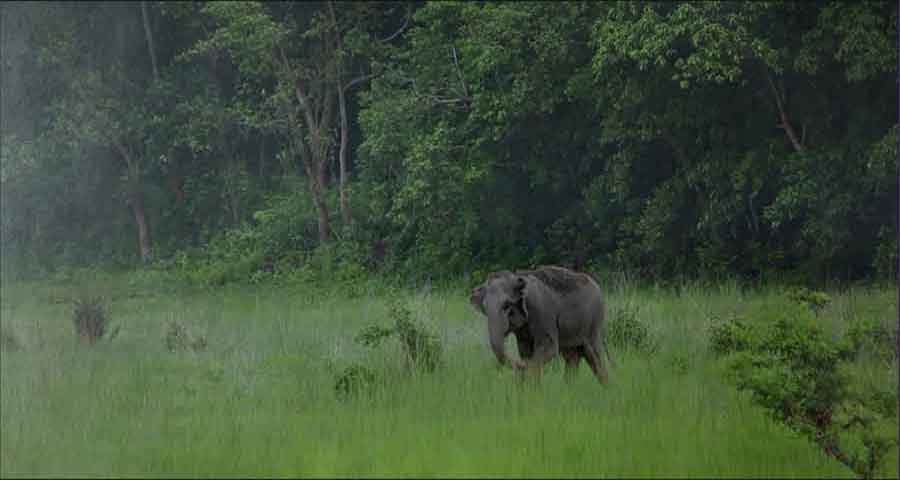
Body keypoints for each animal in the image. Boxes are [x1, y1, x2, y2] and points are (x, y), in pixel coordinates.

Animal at [469, 265, 611, 384]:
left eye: (507, 305)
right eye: (485, 308)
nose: (520, 364)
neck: (517, 278)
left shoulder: (542, 312)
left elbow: (549, 348)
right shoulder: (523, 332)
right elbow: (525, 351)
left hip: (594, 322)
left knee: (594, 355)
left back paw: (606, 388)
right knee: (571, 357)